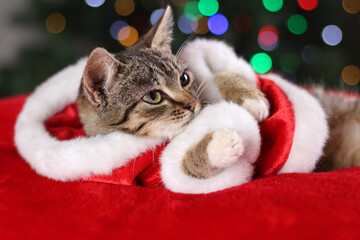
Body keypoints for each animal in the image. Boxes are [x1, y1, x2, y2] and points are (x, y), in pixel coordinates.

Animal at [77, 6, 270, 178]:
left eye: (184, 78)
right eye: (153, 97)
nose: (191, 103)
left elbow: (217, 75)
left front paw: (249, 98)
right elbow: (182, 167)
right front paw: (218, 146)